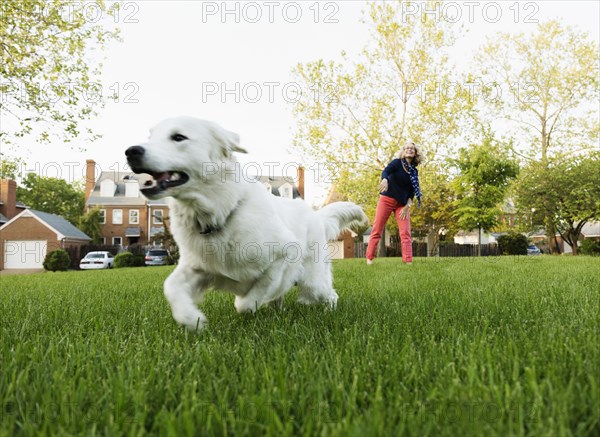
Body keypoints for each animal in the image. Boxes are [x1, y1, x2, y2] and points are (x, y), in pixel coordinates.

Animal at [127, 117, 366, 328]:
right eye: (150, 136)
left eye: (178, 137)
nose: (131, 151)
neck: (221, 212)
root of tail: (316, 216)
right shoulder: (197, 267)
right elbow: (171, 287)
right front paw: (191, 319)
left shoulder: (283, 255)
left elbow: (247, 301)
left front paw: (244, 303)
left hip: (312, 282)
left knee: (329, 294)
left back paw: (328, 310)